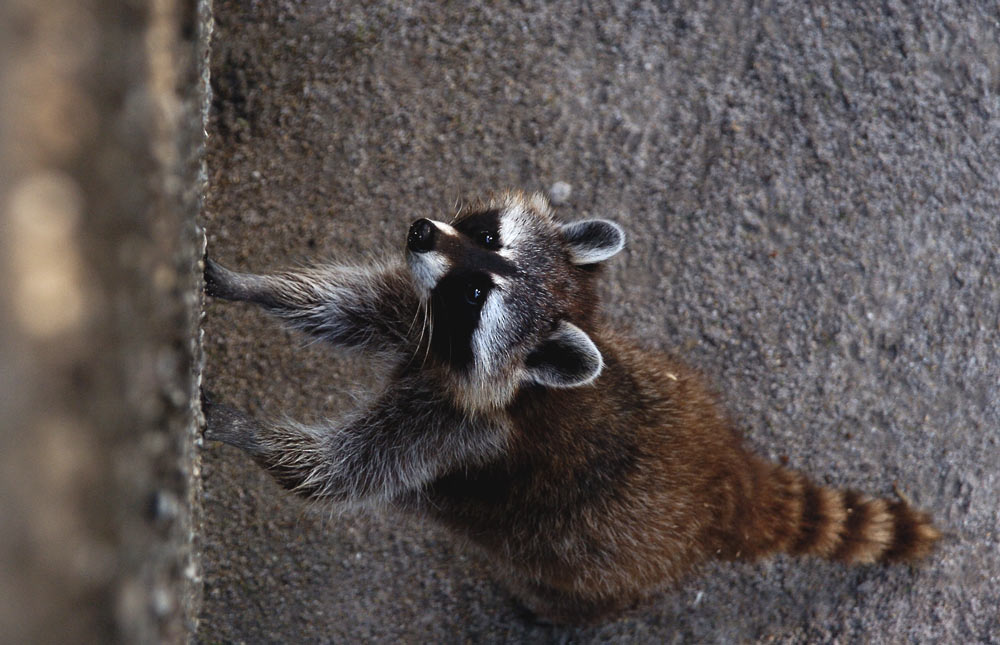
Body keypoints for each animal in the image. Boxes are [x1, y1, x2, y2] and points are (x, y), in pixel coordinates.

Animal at [203, 189, 936, 620]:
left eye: (478, 294)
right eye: (486, 237)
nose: (418, 231)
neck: (527, 383)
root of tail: (726, 482)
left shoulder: (457, 432)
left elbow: (336, 471)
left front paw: (241, 428)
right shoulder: (423, 328)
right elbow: (345, 306)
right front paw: (247, 283)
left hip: (598, 569)